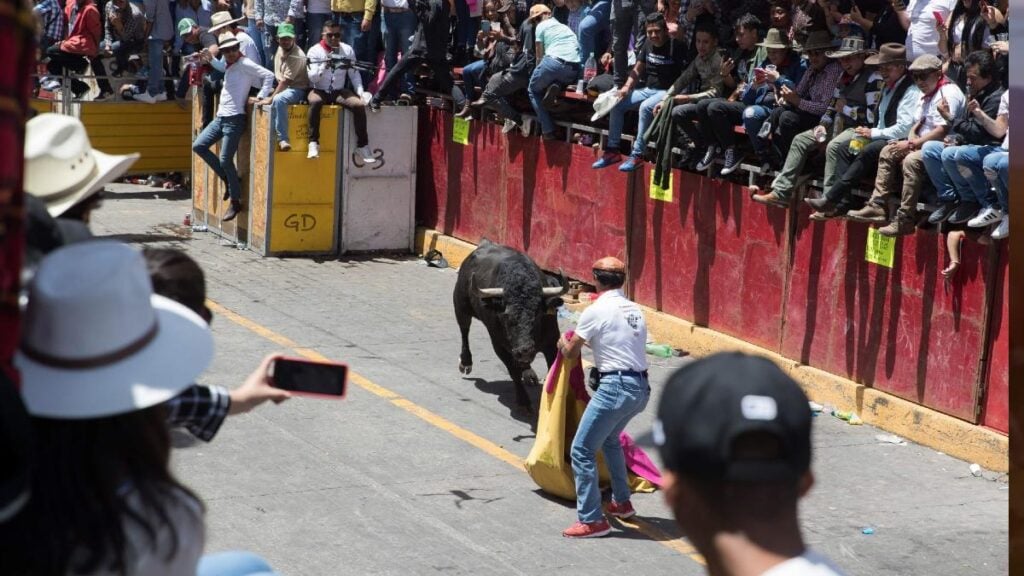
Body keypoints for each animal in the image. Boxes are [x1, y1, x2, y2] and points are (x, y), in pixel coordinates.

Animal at [454, 240, 569, 407]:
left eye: (538, 314)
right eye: (506, 316)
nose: (524, 350)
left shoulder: (552, 341)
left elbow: (553, 369)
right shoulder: (500, 346)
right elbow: (513, 371)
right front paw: (523, 401)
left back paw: (529, 374)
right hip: (460, 306)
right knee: (464, 330)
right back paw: (465, 362)